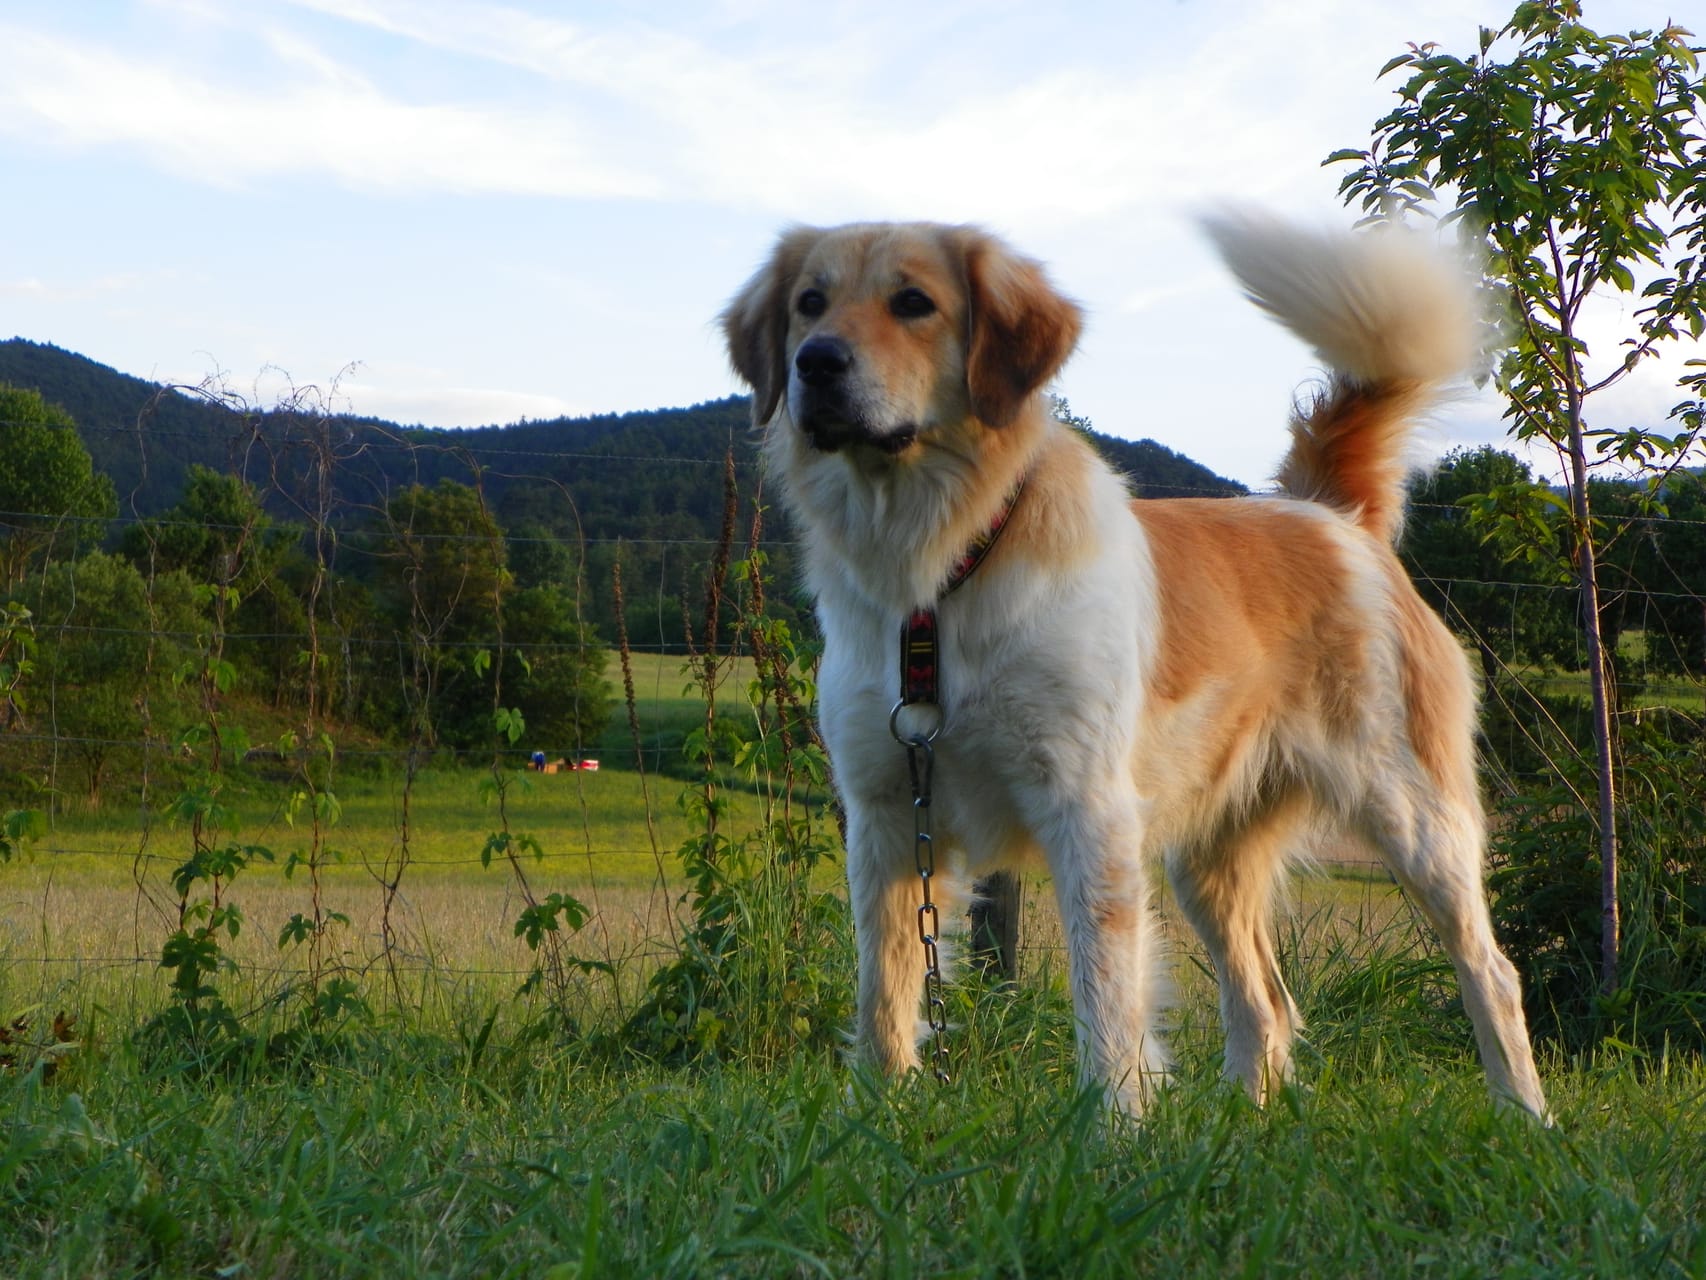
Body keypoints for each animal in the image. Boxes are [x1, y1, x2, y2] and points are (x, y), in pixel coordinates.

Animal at [719, 215, 1549, 1119]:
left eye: (913, 303)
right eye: (809, 303)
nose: (817, 362)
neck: (938, 574)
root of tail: (1330, 517)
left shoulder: (1088, 810)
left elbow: (1107, 1000)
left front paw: (1115, 1132)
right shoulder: (886, 816)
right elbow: (885, 993)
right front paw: (877, 1117)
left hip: (1415, 817)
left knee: (1491, 971)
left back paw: (1524, 1116)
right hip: (1210, 857)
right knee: (1265, 1000)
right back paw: (1242, 1124)